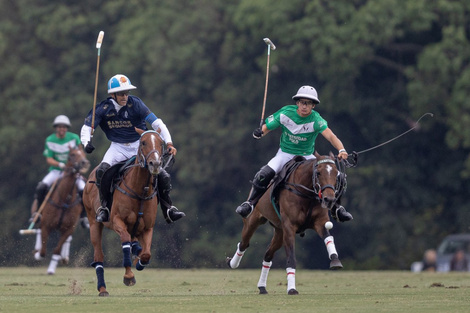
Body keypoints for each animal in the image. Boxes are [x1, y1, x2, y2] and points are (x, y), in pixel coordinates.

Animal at [33, 144, 90, 272]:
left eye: (83, 153)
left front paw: (52, 268)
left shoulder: (68, 228)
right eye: (72, 155)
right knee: (38, 227)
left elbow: (57, 250)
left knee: (67, 239)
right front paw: (38, 254)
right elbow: (43, 251)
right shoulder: (46, 225)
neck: (65, 198)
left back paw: (64, 257)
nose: (84, 163)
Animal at [83, 128, 164, 296]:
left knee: (135, 243)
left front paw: (139, 262)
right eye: (143, 142)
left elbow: (146, 254)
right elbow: (125, 243)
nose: (155, 164)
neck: (141, 190)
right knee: (99, 256)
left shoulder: (148, 227)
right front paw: (129, 276)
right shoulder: (117, 221)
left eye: (161, 143)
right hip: (94, 223)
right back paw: (102, 288)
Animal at [228, 152, 346, 294]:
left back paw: (262, 287)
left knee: (268, 255)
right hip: (252, 222)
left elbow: (328, 237)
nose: (329, 199)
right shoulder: (289, 227)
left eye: (336, 174)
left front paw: (335, 261)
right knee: (243, 244)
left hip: (279, 231)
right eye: (318, 173)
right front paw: (292, 289)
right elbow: (291, 258)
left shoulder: (320, 222)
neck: (307, 194)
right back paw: (233, 263)